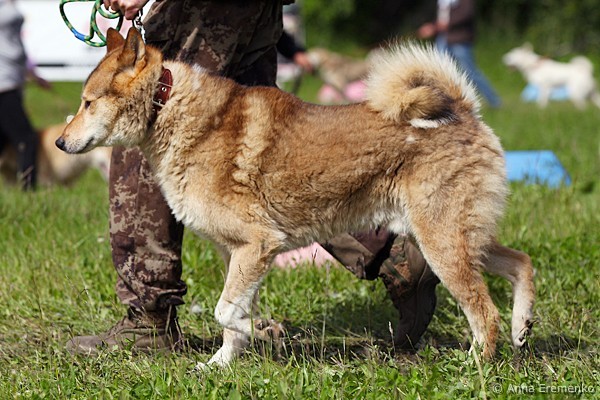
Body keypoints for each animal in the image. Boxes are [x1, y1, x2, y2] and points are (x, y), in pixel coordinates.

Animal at [56, 28, 535, 368]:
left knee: (484, 312)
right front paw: (219, 366)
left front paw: (258, 330)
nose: (59, 142)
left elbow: (225, 312)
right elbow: (231, 318)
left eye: (87, 102)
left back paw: (475, 364)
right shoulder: (239, 253)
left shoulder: (258, 243)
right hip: (458, 239)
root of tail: (464, 112)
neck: (167, 106)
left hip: (444, 242)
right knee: (521, 263)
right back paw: (521, 327)